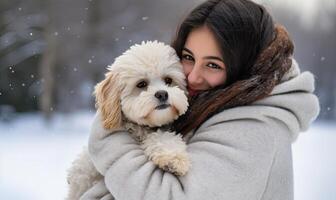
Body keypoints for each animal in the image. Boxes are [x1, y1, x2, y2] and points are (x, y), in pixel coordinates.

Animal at [67, 41, 190, 200]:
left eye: (168, 80)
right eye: (141, 84)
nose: (162, 94)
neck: (141, 128)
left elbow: (164, 137)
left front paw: (173, 159)